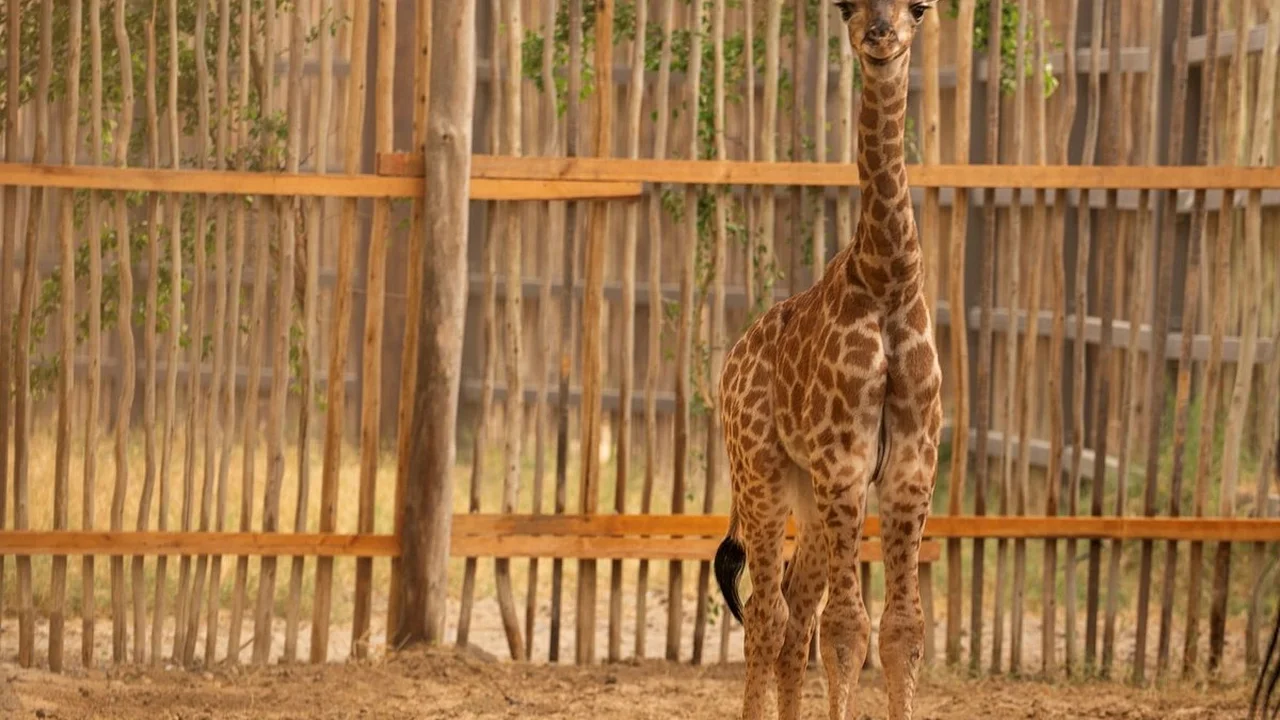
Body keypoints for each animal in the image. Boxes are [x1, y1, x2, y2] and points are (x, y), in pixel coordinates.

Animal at [713, 2, 942, 719]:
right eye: (846, 7)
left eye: (919, 8)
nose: (880, 38)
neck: (889, 277)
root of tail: (734, 357)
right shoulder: (844, 463)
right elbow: (849, 628)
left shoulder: (911, 470)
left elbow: (902, 629)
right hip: (760, 473)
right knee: (768, 614)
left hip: (809, 496)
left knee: (795, 609)